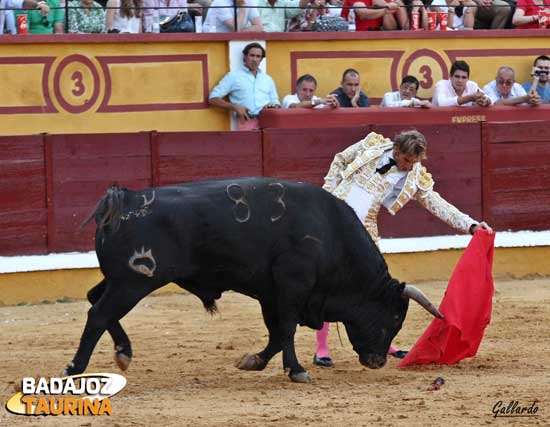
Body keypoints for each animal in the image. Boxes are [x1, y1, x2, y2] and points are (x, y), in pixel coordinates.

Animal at [64, 177, 444, 384]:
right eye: (394, 318)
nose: (377, 361)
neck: (330, 235)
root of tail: (125, 198)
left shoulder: (270, 293)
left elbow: (276, 334)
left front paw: (254, 361)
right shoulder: (292, 286)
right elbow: (287, 329)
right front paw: (297, 371)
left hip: (119, 280)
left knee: (94, 299)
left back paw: (123, 353)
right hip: (134, 282)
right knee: (98, 314)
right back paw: (75, 368)